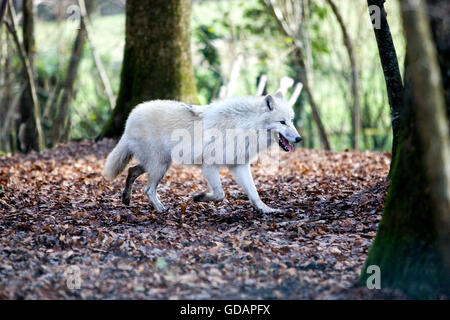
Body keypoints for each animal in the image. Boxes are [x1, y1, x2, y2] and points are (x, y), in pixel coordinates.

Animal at [103, 91, 300, 214]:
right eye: (282, 122)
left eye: (291, 120)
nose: (299, 138)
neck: (244, 126)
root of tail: (131, 117)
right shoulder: (209, 166)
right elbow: (220, 194)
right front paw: (199, 197)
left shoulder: (239, 166)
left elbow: (254, 193)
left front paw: (265, 209)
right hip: (160, 166)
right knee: (148, 189)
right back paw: (159, 209)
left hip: (158, 165)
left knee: (132, 171)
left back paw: (126, 198)